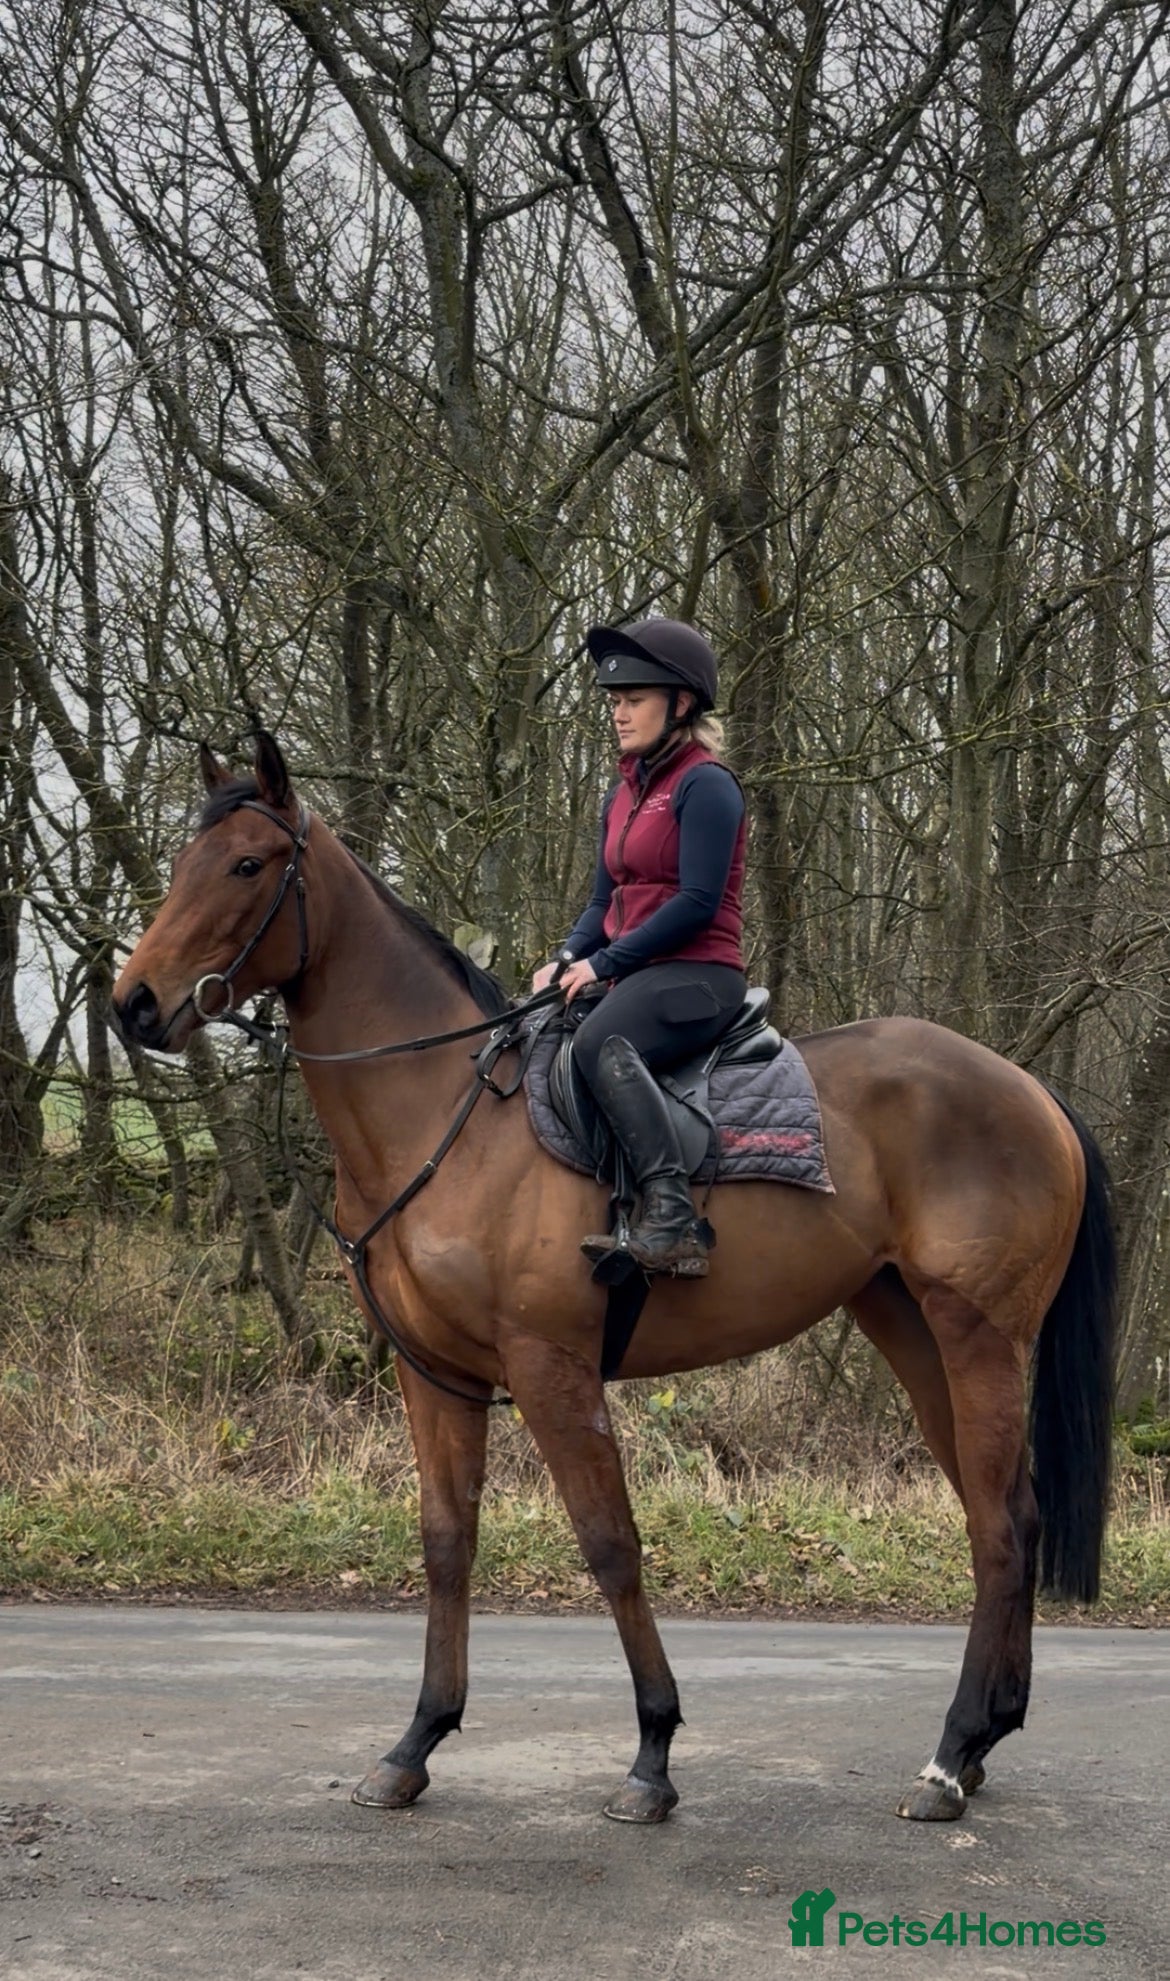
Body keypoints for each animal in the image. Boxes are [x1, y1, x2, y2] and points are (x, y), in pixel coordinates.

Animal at [112, 733, 1116, 1826]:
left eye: (248, 865)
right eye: (183, 862)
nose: (134, 1004)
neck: (447, 1116)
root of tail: (1027, 1088)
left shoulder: (550, 1366)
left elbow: (609, 1543)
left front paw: (653, 1751)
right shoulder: (436, 1376)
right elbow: (446, 1541)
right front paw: (416, 1742)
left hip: (979, 1338)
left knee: (1004, 1529)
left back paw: (951, 1752)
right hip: (911, 1329)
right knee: (999, 1511)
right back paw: (981, 1741)